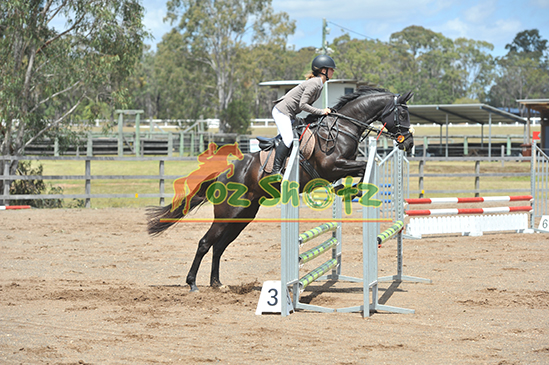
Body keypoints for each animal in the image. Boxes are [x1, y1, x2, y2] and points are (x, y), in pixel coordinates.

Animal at [148, 85, 414, 290]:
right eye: (402, 113)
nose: (409, 143)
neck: (341, 129)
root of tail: (224, 174)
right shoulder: (332, 166)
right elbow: (362, 166)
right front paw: (353, 190)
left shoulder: (340, 167)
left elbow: (361, 168)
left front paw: (348, 190)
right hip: (227, 214)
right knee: (205, 243)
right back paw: (192, 283)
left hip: (243, 215)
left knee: (219, 246)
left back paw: (217, 283)